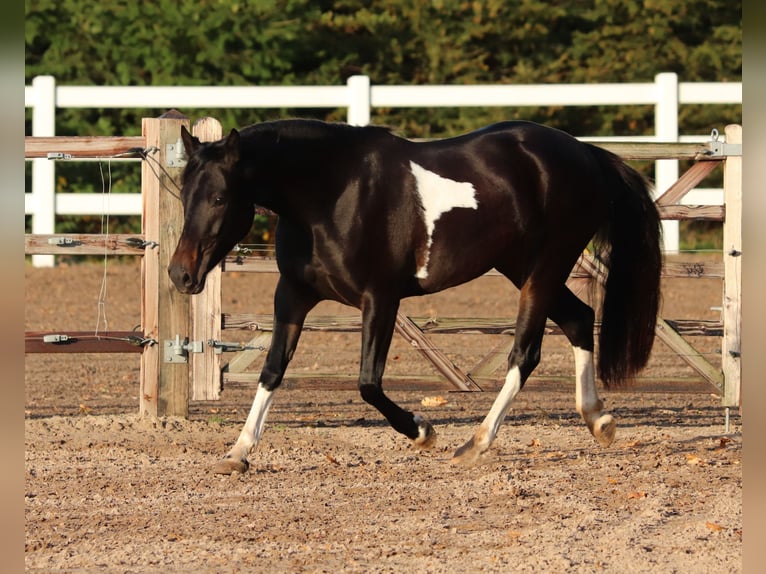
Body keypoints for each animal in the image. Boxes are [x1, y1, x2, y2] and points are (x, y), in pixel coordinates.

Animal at [171, 119, 664, 474]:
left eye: (219, 198)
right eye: (183, 196)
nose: (180, 274)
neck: (331, 193)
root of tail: (586, 153)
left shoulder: (381, 298)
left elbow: (369, 383)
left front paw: (423, 432)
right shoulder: (292, 295)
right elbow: (272, 371)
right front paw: (238, 452)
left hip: (544, 269)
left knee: (525, 354)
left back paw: (475, 443)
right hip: (520, 267)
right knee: (579, 318)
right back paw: (599, 421)